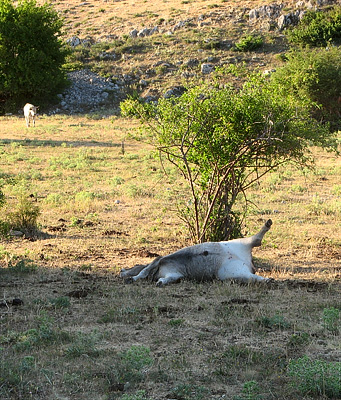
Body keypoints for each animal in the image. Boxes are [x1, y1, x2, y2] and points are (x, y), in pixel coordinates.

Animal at [121, 217, 272, 286]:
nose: (122, 270)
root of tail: (246, 261)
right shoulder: (175, 274)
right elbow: (164, 277)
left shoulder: (159, 261)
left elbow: (143, 271)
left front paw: (131, 277)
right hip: (235, 271)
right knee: (253, 275)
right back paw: (268, 280)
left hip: (237, 247)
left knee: (256, 239)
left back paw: (267, 224)